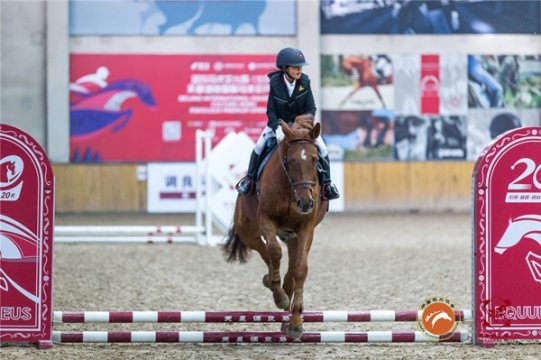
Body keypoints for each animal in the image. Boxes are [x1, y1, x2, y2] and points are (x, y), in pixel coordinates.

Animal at [221, 114, 326, 338]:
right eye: (290, 160)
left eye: (315, 159)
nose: (306, 203)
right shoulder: (266, 219)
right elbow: (274, 252)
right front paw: (279, 296)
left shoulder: (306, 228)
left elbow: (300, 269)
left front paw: (295, 323)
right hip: (248, 231)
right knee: (264, 251)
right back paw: (271, 282)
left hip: (293, 237)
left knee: (291, 270)